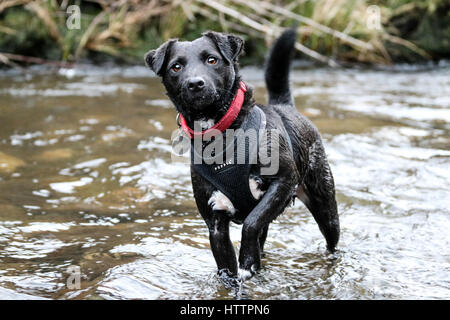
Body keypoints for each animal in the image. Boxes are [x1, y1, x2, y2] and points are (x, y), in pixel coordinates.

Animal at [146, 28, 340, 282]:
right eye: (176, 67)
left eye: (212, 60)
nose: (195, 83)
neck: (221, 137)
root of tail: (284, 107)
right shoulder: (215, 222)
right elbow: (226, 262)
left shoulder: (284, 182)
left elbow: (251, 223)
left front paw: (247, 261)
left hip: (325, 205)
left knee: (331, 239)